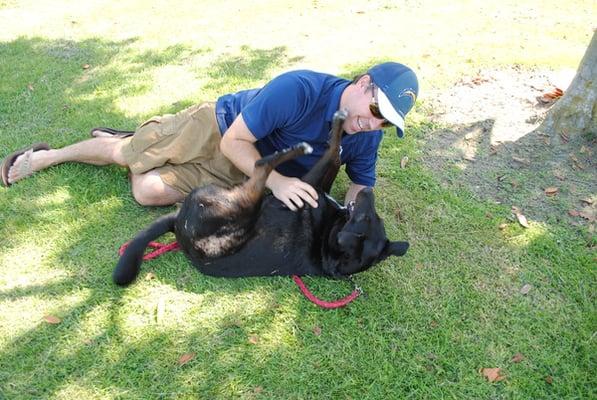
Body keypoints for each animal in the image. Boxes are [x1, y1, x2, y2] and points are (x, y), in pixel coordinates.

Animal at [112, 109, 408, 284]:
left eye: (365, 218)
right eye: (375, 217)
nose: (367, 191)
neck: (328, 237)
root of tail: (179, 227)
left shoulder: (308, 184)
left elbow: (333, 150)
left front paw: (338, 126)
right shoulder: (315, 186)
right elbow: (335, 153)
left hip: (242, 205)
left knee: (261, 167)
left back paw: (289, 151)